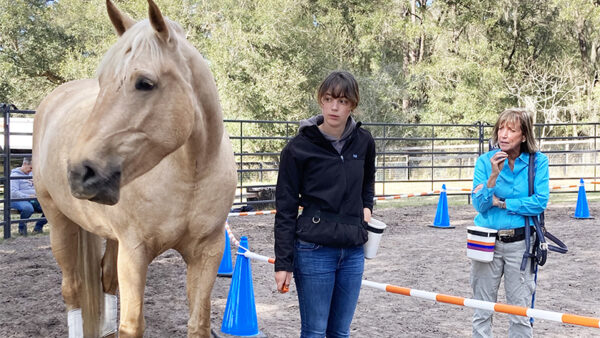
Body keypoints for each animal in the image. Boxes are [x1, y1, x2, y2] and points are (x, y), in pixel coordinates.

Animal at [31, 1, 236, 336]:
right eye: (102, 83)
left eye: (145, 83)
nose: (80, 172)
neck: (190, 177)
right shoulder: (134, 252)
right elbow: (132, 324)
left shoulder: (208, 252)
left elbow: (198, 323)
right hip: (59, 222)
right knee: (72, 288)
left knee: (105, 280)